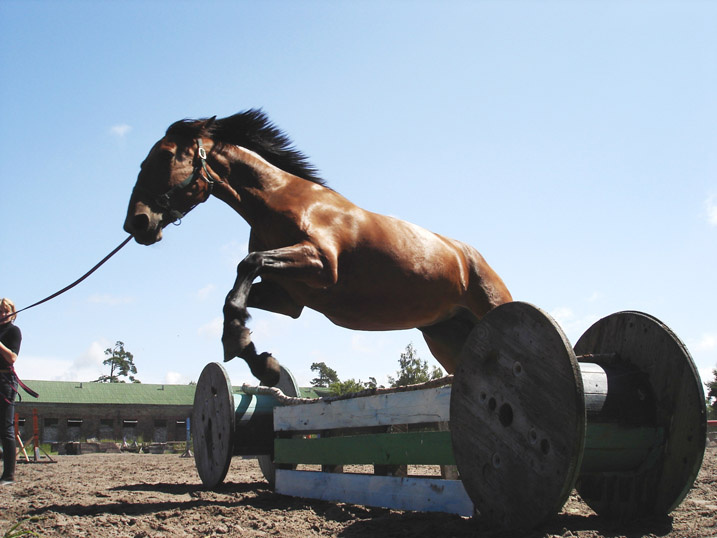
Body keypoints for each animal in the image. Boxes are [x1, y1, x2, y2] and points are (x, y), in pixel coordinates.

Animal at [124, 110, 512, 386]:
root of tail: (471, 258)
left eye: (166, 156)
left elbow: (247, 265)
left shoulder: (321, 264)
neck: (278, 200)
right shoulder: (289, 299)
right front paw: (262, 362)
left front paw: (238, 343)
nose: (137, 223)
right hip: (447, 336)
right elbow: (235, 296)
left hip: (489, 311)